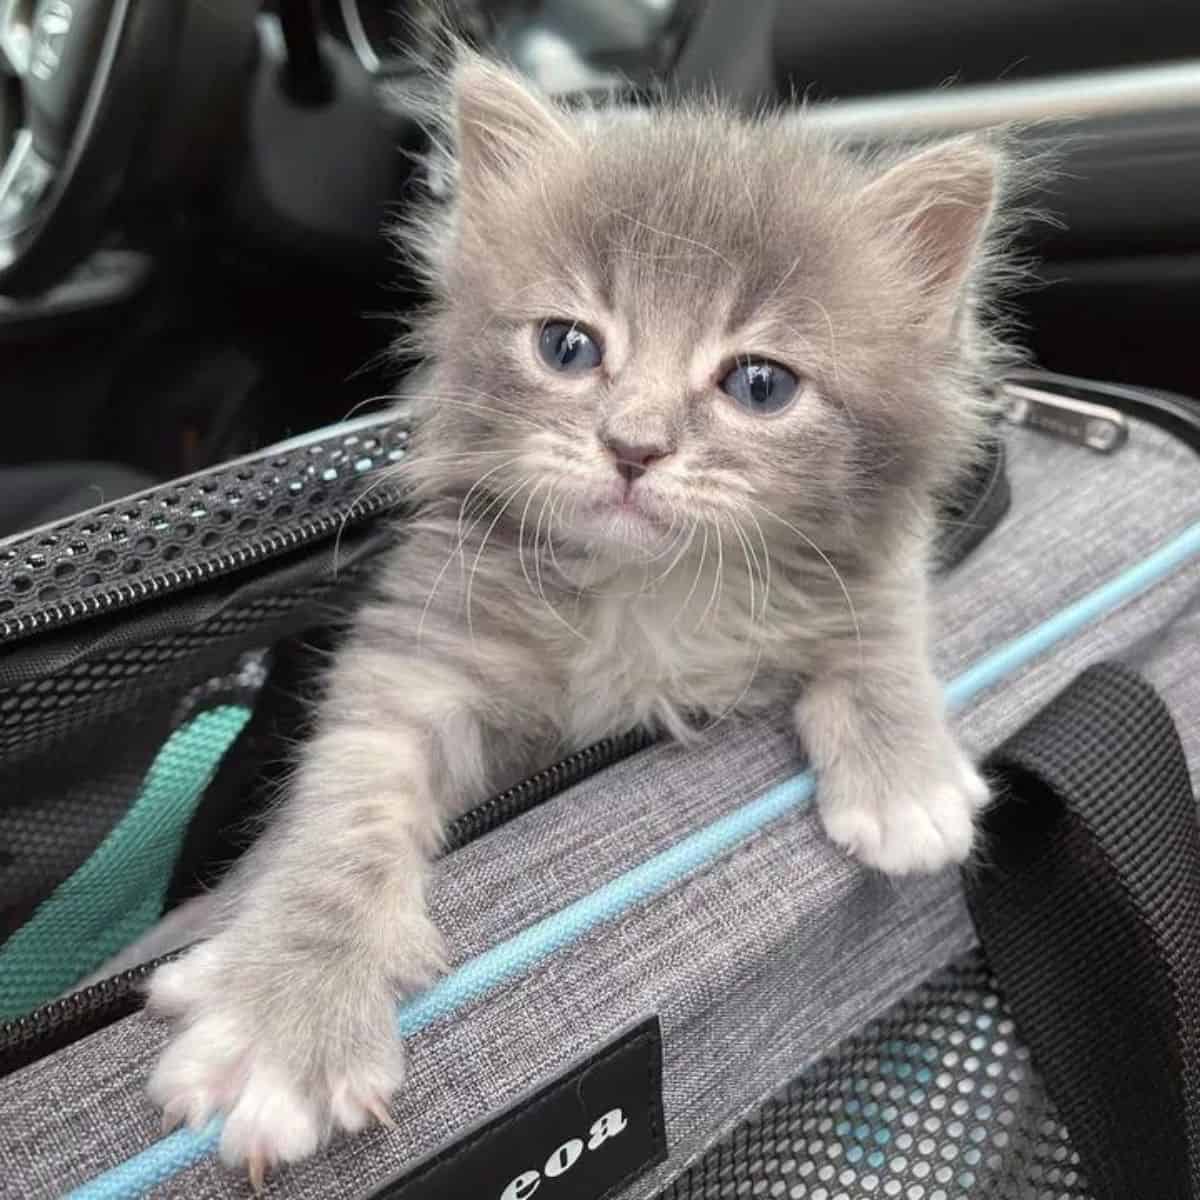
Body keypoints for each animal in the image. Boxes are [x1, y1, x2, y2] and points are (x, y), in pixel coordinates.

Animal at [145, 51, 1017, 1176]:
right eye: (567, 347)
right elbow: (349, 809)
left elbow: (880, 619)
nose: (633, 446)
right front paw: (286, 1011)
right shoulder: (420, 650)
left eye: (760, 383)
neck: (650, 590)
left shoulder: (868, 548)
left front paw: (904, 772)